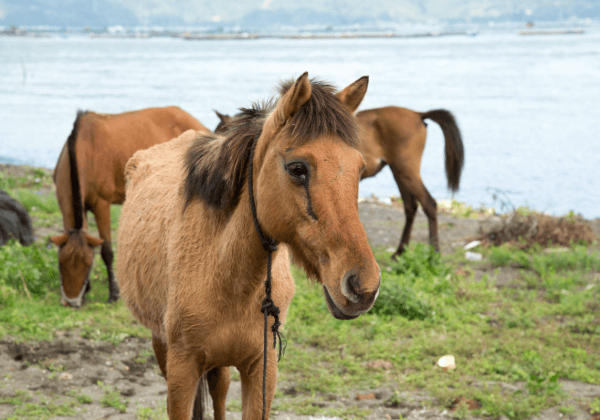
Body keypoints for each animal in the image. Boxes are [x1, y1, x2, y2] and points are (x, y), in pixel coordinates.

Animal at [49, 106, 209, 306]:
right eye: (60, 263)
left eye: (88, 264)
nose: (71, 302)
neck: (84, 147)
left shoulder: (102, 203)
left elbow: (107, 251)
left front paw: (113, 293)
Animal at [116, 74, 380, 418]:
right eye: (297, 168)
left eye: (360, 169)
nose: (363, 286)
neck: (225, 275)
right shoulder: (181, 371)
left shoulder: (261, 370)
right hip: (162, 346)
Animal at [216, 104, 464, 260]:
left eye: (224, 129)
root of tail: (418, 114)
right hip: (398, 170)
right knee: (411, 206)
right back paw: (399, 252)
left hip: (406, 170)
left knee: (429, 203)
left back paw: (434, 252)